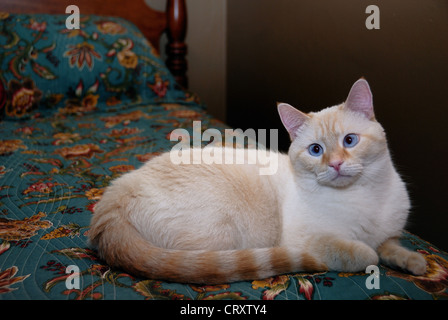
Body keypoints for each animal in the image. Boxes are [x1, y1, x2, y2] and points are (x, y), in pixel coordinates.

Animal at [88, 79, 428, 284]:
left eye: (350, 140)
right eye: (316, 150)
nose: (335, 164)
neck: (365, 197)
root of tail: (112, 200)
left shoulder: (390, 234)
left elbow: (394, 248)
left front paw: (418, 265)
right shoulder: (312, 241)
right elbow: (366, 253)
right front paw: (373, 258)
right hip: (224, 238)